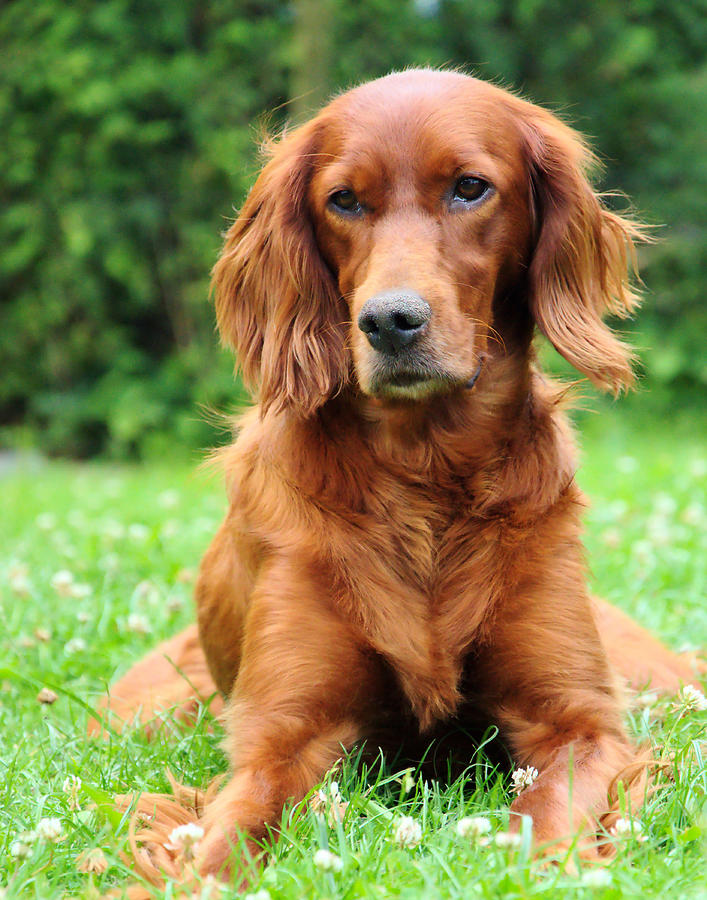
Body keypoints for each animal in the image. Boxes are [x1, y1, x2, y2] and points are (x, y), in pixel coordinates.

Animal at [97, 68, 704, 884]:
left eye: (470, 188)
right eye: (344, 200)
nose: (390, 321)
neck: (424, 468)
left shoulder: (581, 724)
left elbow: (545, 818)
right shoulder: (280, 739)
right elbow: (224, 837)